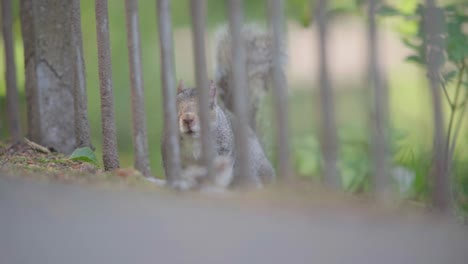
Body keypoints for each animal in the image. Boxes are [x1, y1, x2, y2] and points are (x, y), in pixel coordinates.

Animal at [161, 24, 286, 190]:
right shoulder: (169, 152)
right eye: (174, 108)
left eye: (208, 107)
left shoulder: (223, 148)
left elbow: (220, 167)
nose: (188, 119)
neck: (193, 141)